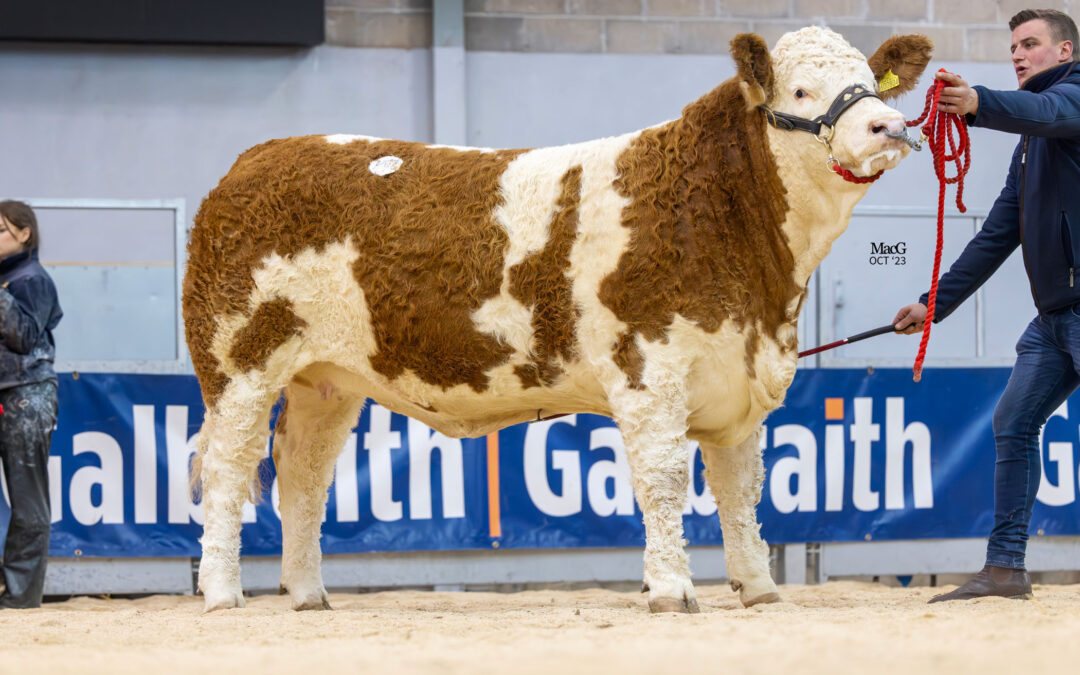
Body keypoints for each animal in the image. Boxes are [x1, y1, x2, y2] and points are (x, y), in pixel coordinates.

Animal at [183, 28, 928, 613]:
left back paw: (309, 593)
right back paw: (223, 593)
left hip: (326, 380)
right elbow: (664, 480)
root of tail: (256, 160)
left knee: (303, 473)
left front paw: (759, 589)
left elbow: (740, 490)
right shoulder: (648, 369)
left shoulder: (740, 376)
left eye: (873, 84)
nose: (888, 127)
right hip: (238, 362)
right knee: (227, 469)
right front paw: (672, 590)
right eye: (800, 91)